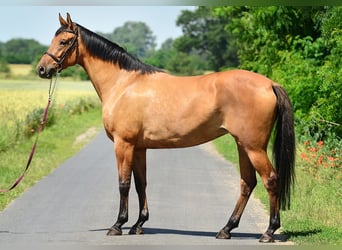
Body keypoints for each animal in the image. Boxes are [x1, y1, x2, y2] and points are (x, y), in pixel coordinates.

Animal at [36, 13, 294, 242]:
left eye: (64, 41)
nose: (42, 69)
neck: (124, 84)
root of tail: (270, 84)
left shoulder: (123, 144)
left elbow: (123, 184)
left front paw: (118, 224)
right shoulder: (139, 148)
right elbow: (140, 184)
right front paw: (138, 224)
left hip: (254, 147)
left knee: (271, 179)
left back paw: (268, 232)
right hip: (243, 145)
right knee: (247, 183)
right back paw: (226, 229)